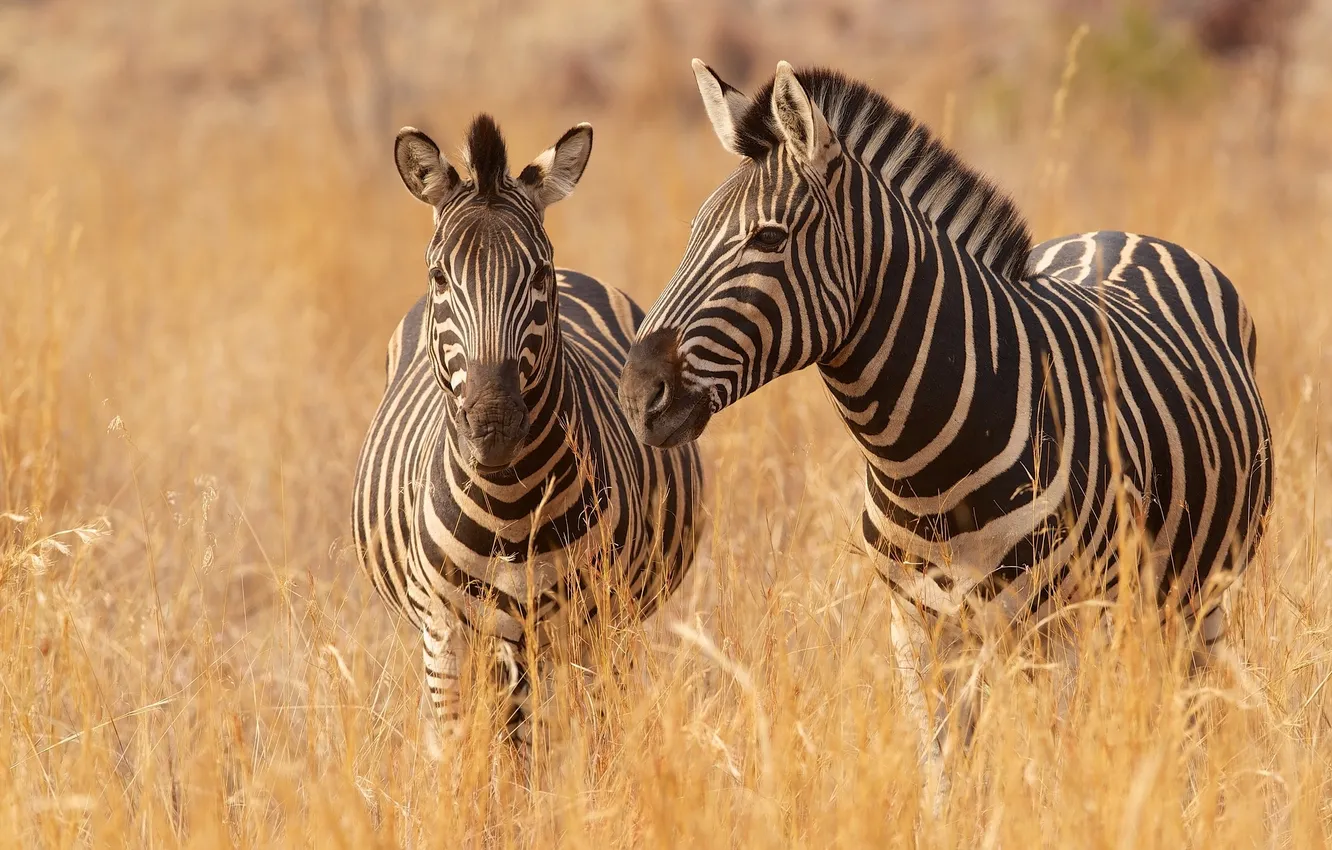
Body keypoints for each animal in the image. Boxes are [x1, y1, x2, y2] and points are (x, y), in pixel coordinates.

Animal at [353, 114, 702, 744]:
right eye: (439, 276)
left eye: (538, 274)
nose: (493, 423)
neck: (511, 506)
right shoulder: (446, 639)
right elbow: (465, 754)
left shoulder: (597, 626)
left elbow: (592, 747)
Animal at [619, 60, 1272, 782]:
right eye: (691, 235)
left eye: (768, 238)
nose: (637, 392)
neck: (924, 463)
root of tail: (1122, 234)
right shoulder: (919, 629)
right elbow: (945, 777)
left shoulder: (1058, 627)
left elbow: (1048, 774)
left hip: (1194, 598)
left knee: (1192, 717)